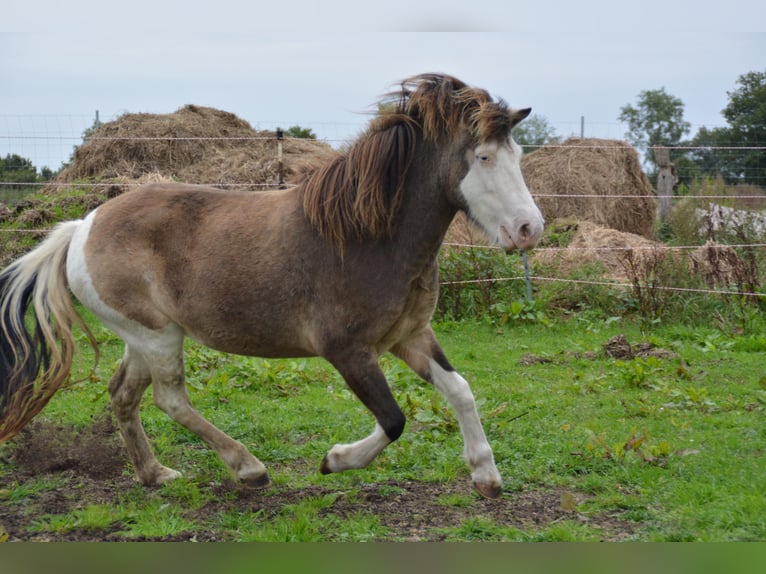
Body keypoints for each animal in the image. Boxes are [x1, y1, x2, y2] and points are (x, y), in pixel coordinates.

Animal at [0, 73, 544, 499]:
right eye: (483, 157)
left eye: (517, 153)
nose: (529, 229)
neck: (368, 236)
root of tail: (81, 227)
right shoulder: (347, 350)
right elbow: (393, 420)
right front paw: (334, 460)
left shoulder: (409, 337)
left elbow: (460, 390)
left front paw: (487, 476)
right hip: (157, 335)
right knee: (170, 399)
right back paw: (249, 468)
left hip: (142, 337)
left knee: (123, 395)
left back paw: (156, 474)